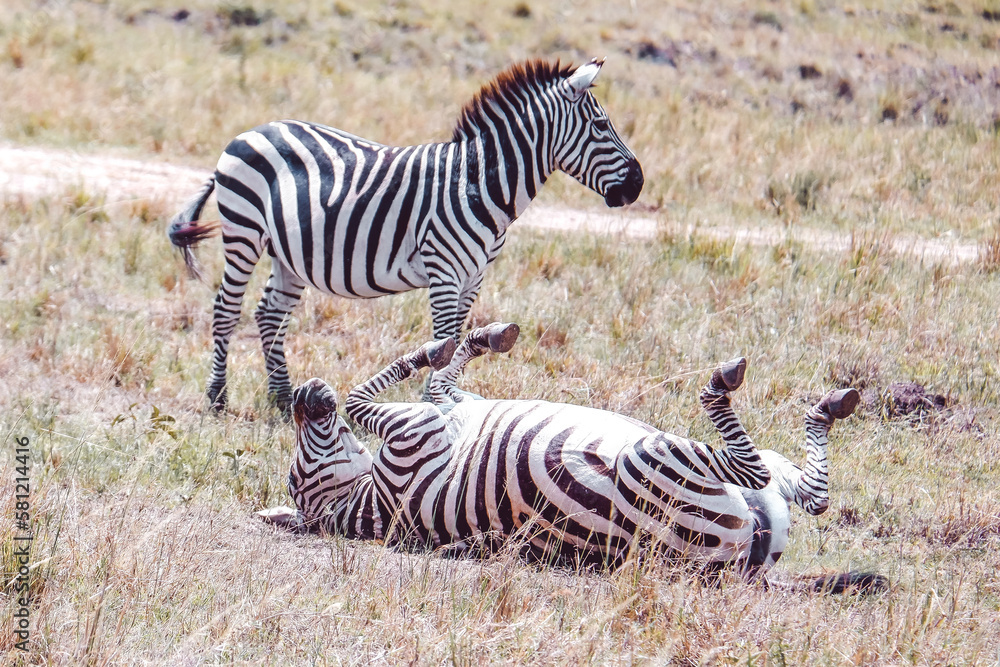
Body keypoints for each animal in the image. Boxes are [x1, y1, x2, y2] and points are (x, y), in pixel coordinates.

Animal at [167, 58, 643, 413]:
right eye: (601, 126)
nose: (638, 185)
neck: (477, 182)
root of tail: (250, 131)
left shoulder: (475, 276)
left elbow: (460, 338)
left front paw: (445, 398)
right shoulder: (445, 270)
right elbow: (445, 338)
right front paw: (437, 403)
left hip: (290, 254)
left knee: (270, 315)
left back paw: (282, 399)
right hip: (243, 232)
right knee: (227, 310)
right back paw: (217, 398)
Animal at [270, 324, 886, 592]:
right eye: (302, 469)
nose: (303, 394)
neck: (368, 503)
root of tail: (737, 570)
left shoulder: (450, 409)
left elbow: (439, 380)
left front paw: (479, 337)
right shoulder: (413, 432)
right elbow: (364, 397)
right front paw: (438, 347)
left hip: (761, 490)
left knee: (811, 492)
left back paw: (830, 406)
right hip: (655, 459)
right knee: (767, 472)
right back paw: (724, 384)